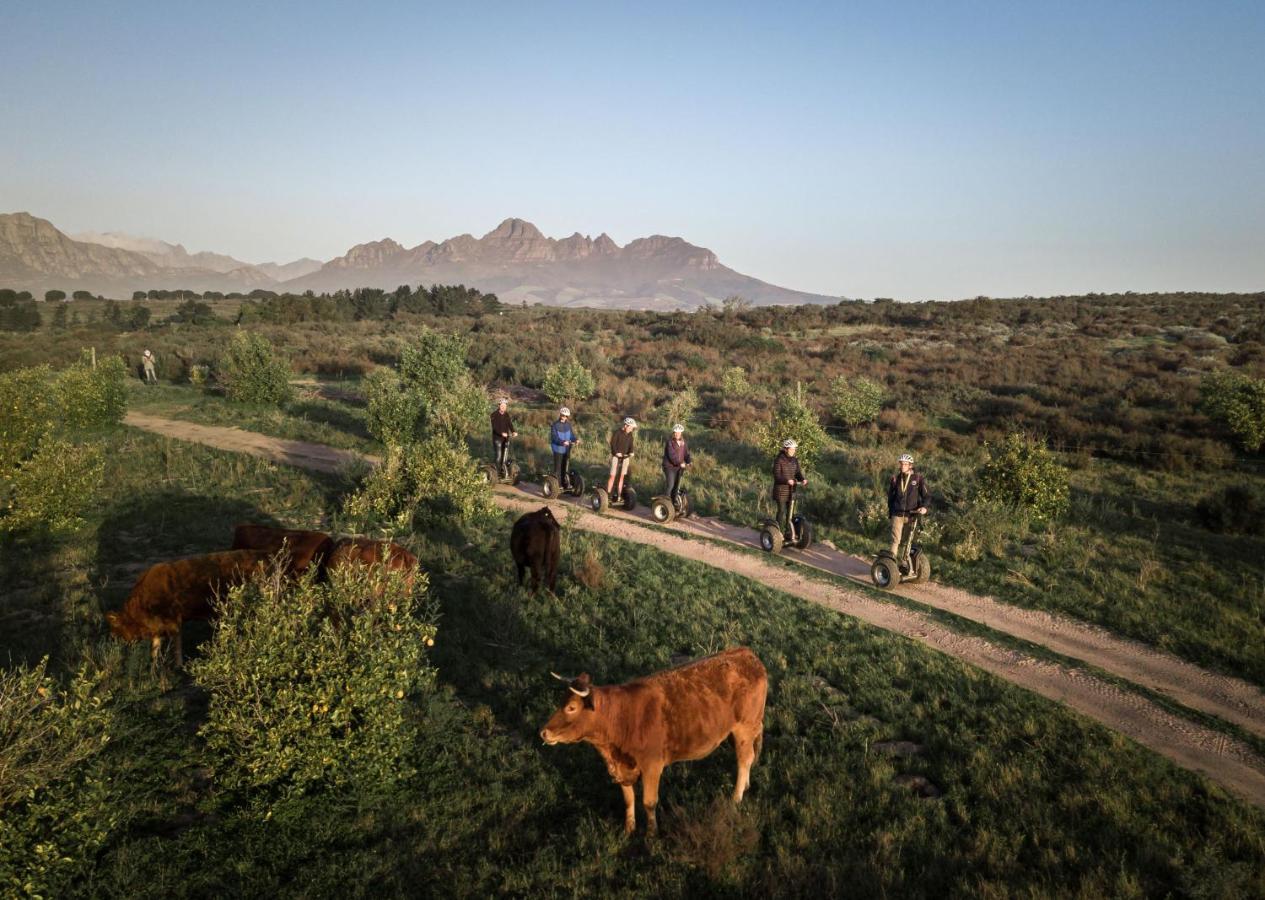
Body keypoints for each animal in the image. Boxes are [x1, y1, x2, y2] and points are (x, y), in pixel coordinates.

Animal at [538, 648, 764, 830]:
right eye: (560, 702)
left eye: (571, 707)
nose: (543, 732)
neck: (621, 718)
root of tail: (746, 654)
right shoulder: (622, 768)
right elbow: (628, 800)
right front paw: (629, 830)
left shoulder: (652, 765)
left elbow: (649, 802)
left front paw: (651, 834)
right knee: (750, 756)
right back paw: (746, 786)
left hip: (744, 728)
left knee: (744, 760)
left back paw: (736, 799)